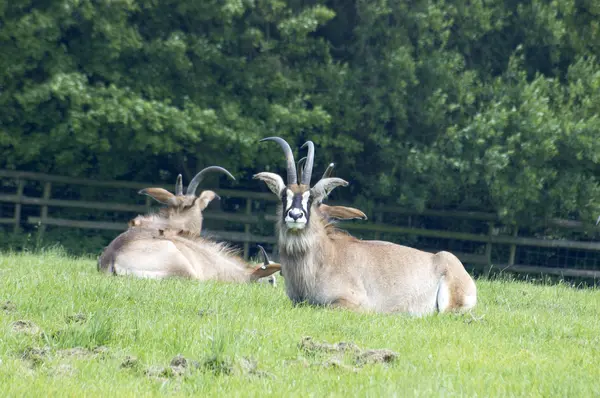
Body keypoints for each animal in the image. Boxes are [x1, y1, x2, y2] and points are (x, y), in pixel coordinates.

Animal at [254, 138, 478, 316]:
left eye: (310, 199)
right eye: (284, 196)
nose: (295, 215)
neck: (324, 256)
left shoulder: (354, 303)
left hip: (449, 307)